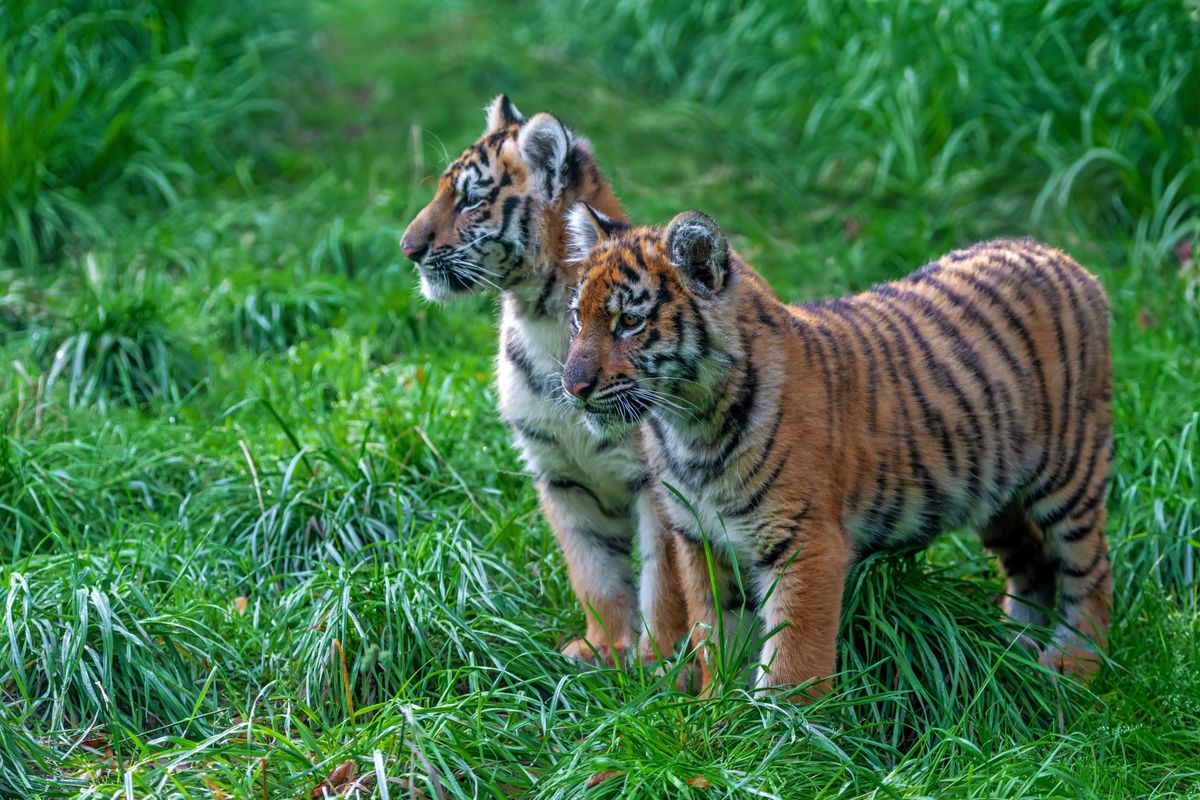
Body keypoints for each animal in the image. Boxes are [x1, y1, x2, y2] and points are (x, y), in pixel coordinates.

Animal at [399, 95, 688, 668]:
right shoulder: (559, 473)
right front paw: (603, 650)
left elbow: (664, 580)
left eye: (470, 200)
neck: (544, 318)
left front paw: (660, 665)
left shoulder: (657, 481)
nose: (407, 248)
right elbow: (593, 571)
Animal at [561, 205, 1114, 697]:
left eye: (630, 322)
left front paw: (781, 738)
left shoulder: (805, 541)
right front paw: (716, 713)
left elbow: (792, 662)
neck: (687, 425)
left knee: (1091, 570)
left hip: (1069, 473)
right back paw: (1015, 647)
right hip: (991, 491)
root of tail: (1060, 256)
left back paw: (1072, 664)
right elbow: (716, 636)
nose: (571, 386)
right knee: (1031, 560)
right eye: (575, 320)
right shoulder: (700, 539)